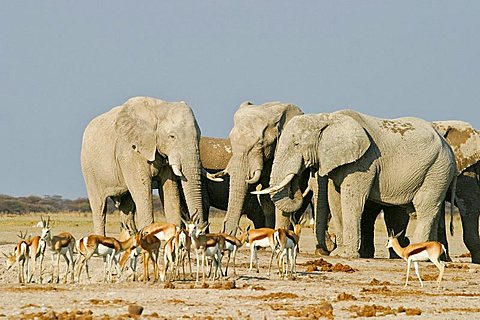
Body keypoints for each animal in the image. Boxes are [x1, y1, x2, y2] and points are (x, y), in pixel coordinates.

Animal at [81, 95, 204, 235]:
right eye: (172, 136)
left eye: (198, 137)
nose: (198, 227)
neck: (159, 109)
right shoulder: (130, 152)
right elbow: (142, 190)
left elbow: (170, 191)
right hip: (89, 168)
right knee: (99, 208)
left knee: (127, 207)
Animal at [256, 109, 460, 258]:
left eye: (297, 144)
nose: (300, 185)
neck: (326, 118)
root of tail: (447, 145)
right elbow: (335, 199)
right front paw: (339, 253)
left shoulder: (363, 162)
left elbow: (352, 201)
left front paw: (348, 255)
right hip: (438, 170)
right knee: (432, 209)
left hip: (438, 168)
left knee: (425, 206)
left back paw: (418, 252)